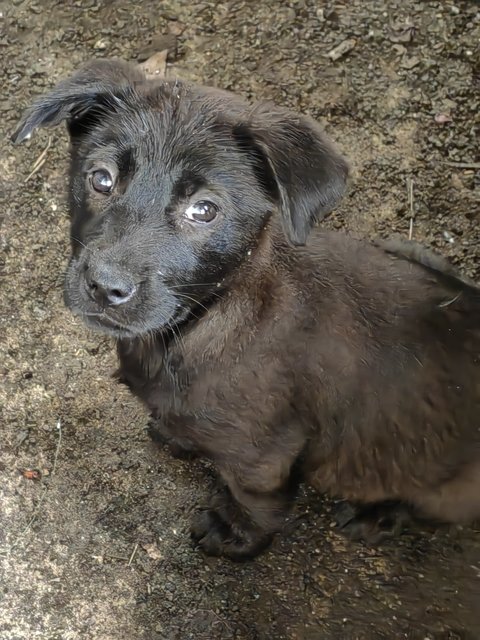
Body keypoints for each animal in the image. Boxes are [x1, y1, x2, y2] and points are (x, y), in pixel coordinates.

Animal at [13, 60, 478, 560]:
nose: (104, 286)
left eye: (204, 209)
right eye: (101, 178)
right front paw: (177, 435)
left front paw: (236, 533)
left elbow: (255, 497)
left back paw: (378, 514)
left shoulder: (265, 453)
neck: (201, 322)